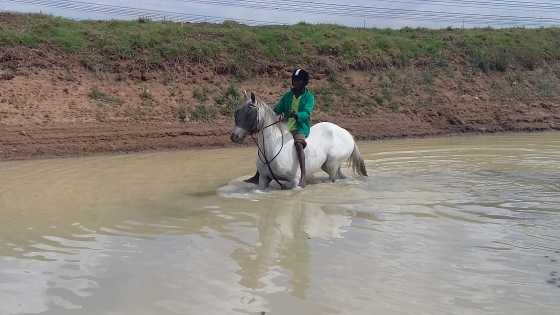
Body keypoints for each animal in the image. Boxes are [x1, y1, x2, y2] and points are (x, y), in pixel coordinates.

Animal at [231, 91, 368, 190]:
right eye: (237, 112)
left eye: (249, 113)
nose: (234, 137)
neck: (273, 148)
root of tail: (347, 134)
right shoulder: (263, 180)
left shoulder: (294, 182)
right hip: (329, 165)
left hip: (332, 165)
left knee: (332, 178)